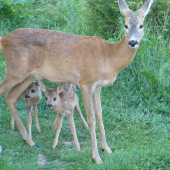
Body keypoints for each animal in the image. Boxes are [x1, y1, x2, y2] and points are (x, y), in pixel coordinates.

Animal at [0, 0, 153, 164]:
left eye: (141, 25)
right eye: (125, 25)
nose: (133, 42)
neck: (109, 56)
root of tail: (4, 39)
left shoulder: (98, 86)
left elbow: (100, 114)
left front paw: (107, 149)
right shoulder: (86, 82)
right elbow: (91, 118)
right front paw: (96, 157)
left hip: (27, 75)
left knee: (10, 97)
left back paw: (30, 141)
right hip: (16, 70)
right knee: (6, 94)